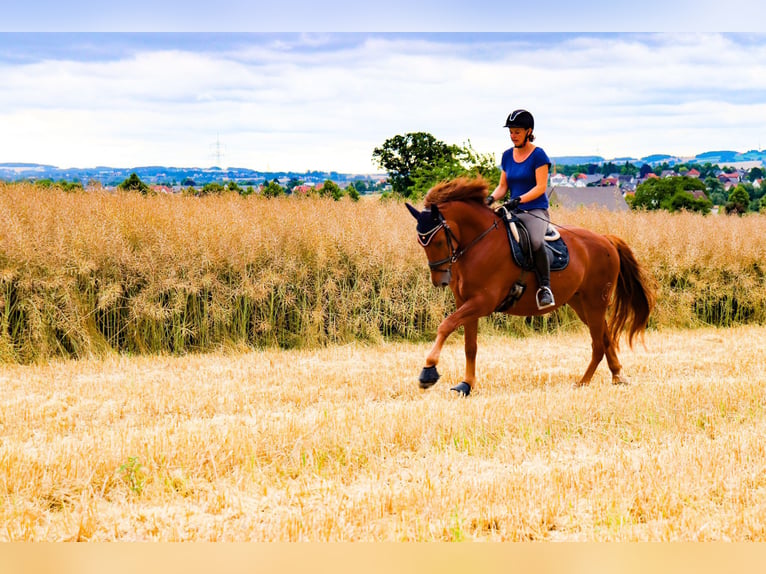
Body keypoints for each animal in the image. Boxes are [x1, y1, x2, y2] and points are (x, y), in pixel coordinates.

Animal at [405, 176, 656, 396]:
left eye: (438, 241)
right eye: (420, 242)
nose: (439, 281)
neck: (478, 243)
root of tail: (606, 240)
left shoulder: (482, 302)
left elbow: (445, 326)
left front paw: (428, 372)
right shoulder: (465, 302)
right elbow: (470, 345)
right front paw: (466, 385)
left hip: (595, 301)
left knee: (598, 344)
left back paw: (582, 382)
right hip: (581, 302)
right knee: (605, 336)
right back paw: (617, 376)